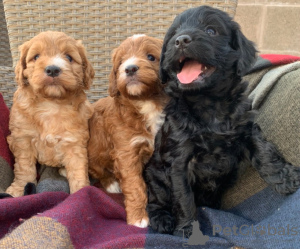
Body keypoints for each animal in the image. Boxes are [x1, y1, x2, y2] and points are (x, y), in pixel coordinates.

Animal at [6, 30, 94, 196]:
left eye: (69, 57)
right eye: (36, 57)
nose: (52, 69)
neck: (51, 103)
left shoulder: (74, 141)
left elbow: (78, 170)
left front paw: (81, 192)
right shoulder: (22, 139)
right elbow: (24, 168)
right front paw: (19, 188)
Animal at [88, 34, 168, 228]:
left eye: (151, 57)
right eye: (121, 62)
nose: (130, 68)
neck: (144, 101)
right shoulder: (127, 152)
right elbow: (134, 185)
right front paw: (138, 217)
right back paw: (111, 184)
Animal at [144, 4, 300, 236]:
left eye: (211, 31)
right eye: (173, 35)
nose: (180, 40)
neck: (208, 103)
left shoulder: (245, 126)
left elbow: (264, 151)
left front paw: (285, 177)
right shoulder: (179, 160)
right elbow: (183, 199)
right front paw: (187, 230)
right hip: (155, 176)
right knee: (155, 201)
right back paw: (162, 219)